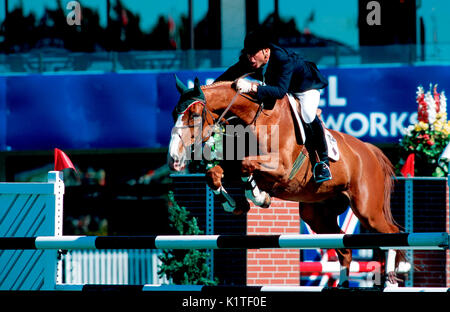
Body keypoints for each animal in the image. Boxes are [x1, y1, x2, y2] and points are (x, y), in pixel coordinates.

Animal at [168, 77, 404, 286]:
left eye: (194, 115)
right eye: (174, 114)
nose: (174, 159)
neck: (254, 118)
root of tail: (370, 150)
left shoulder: (280, 169)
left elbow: (247, 166)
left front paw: (259, 196)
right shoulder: (236, 165)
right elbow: (215, 174)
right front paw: (234, 204)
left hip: (367, 210)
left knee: (392, 233)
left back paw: (390, 279)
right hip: (317, 215)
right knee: (344, 248)